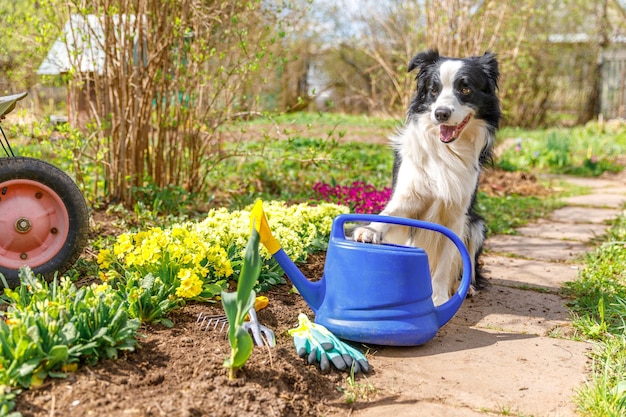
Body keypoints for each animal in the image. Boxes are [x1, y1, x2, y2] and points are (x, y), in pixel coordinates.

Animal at [354, 49, 500, 306]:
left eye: (465, 89)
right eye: (434, 89)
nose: (440, 114)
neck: (447, 150)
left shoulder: (457, 214)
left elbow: (447, 260)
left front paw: (440, 297)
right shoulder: (410, 195)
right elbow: (389, 214)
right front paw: (369, 230)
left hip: (477, 225)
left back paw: (466, 288)